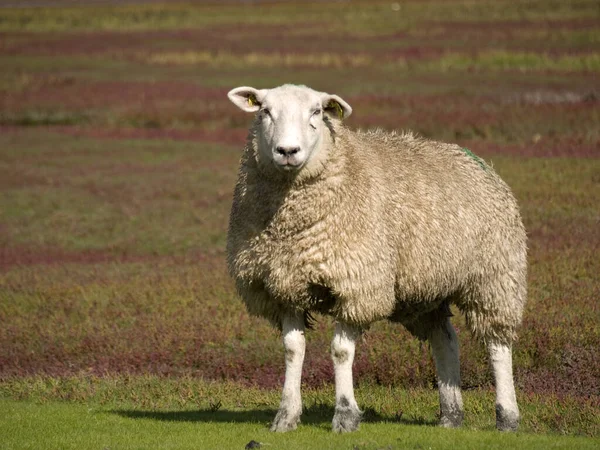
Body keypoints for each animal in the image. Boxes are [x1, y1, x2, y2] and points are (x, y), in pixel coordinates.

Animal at [227, 83, 528, 432]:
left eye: (317, 111)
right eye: (265, 110)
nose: (287, 151)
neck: (292, 224)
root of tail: (479, 162)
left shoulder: (357, 284)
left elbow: (341, 352)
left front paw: (345, 415)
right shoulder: (285, 286)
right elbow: (292, 350)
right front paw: (286, 416)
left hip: (494, 277)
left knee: (497, 345)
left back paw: (507, 416)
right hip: (426, 286)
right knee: (445, 340)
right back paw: (451, 415)